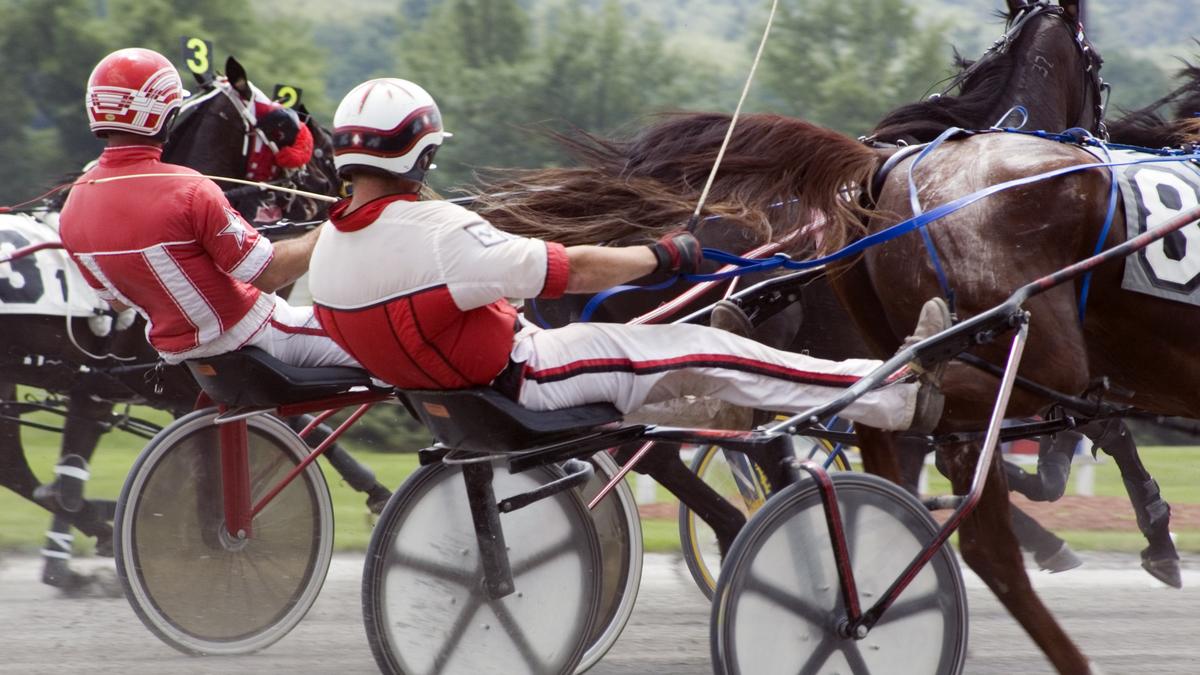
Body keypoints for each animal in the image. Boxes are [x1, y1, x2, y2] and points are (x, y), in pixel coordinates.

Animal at [0, 59, 379, 593]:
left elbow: (66, 484)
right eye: (289, 126)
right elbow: (296, 422)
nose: (341, 185)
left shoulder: (97, 385)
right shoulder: (164, 381)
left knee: (14, 468)